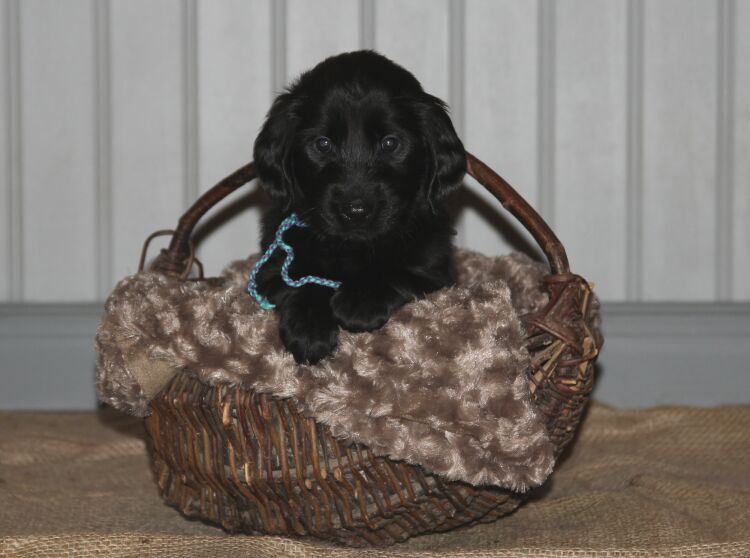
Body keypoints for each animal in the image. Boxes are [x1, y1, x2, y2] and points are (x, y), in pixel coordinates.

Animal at [253, 50, 466, 364]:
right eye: (322, 144)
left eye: (390, 143)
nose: (355, 212)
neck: (352, 249)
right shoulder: (271, 271)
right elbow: (303, 282)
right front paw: (308, 329)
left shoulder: (437, 276)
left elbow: (397, 273)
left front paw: (359, 301)